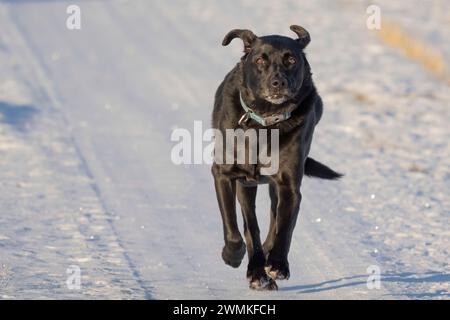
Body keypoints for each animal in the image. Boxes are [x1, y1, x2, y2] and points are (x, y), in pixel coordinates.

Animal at [211, 25, 342, 290]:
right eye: (261, 60)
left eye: (291, 60)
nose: (278, 82)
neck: (266, 121)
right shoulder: (223, 174)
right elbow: (234, 226)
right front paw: (233, 255)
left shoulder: (289, 187)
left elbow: (283, 229)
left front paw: (278, 265)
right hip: (246, 185)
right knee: (251, 225)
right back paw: (255, 270)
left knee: (271, 224)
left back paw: (264, 269)